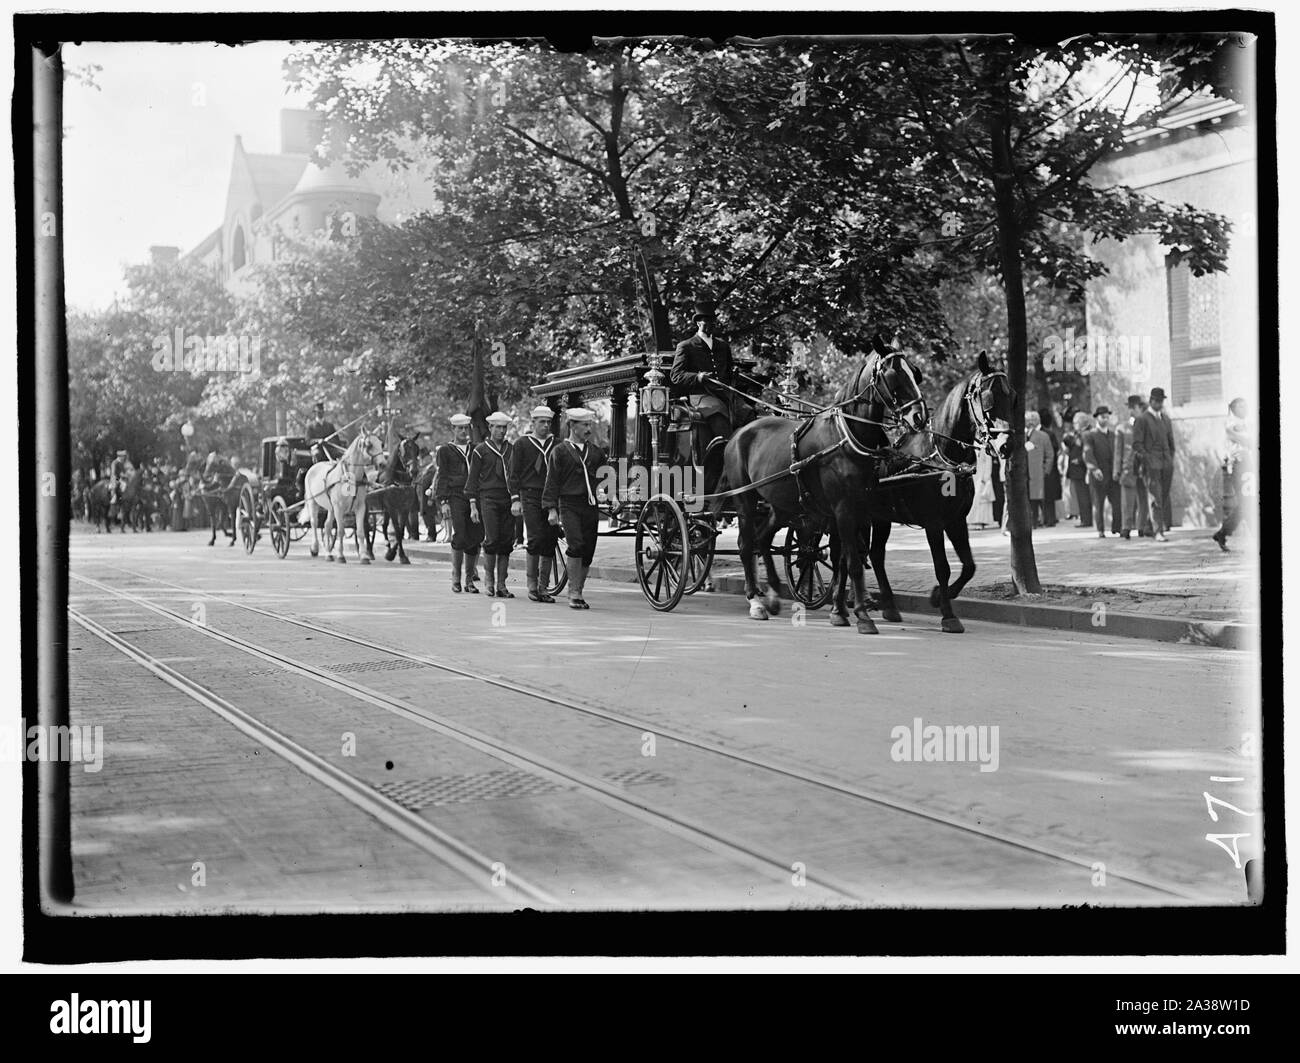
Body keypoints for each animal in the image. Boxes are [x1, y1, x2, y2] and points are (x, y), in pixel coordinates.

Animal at [301, 431, 382, 563]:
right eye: (369, 444)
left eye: (381, 443)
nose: (382, 463)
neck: (350, 478)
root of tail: (314, 466)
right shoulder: (339, 508)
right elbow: (340, 531)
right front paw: (340, 556)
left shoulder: (360, 507)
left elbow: (360, 531)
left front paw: (364, 557)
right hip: (313, 501)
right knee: (314, 523)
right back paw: (315, 548)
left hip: (330, 507)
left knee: (327, 526)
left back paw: (328, 553)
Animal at [374, 431, 418, 563]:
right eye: (404, 451)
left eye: (417, 450)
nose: (414, 471)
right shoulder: (392, 508)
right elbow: (397, 531)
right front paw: (395, 554)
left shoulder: (404, 508)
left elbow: (401, 531)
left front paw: (398, 554)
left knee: (384, 526)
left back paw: (388, 546)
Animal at [722, 343, 925, 628]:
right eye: (894, 375)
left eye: (915, 373)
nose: (919, 416)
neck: (846, 438)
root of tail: (739, 433)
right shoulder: (843, 509)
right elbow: (852, 561)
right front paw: (861, 615)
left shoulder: (860, 509)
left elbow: (845, 561)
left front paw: (842, 611)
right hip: (745, 500)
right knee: (745, 544)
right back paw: (755, 601)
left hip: (782, 506)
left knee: (762, 539)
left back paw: (772, 595)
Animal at [863, 350, 1013, 628]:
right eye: (988, 398)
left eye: (1013, 397)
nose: (1007, 444)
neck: (940, 456)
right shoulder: (933, 523)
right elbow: (942, 566)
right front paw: (948, 614)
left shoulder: (956, 520)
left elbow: (969, 566)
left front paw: (938, 596)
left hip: (880, 518)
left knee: (875, 554)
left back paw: (887, 605)